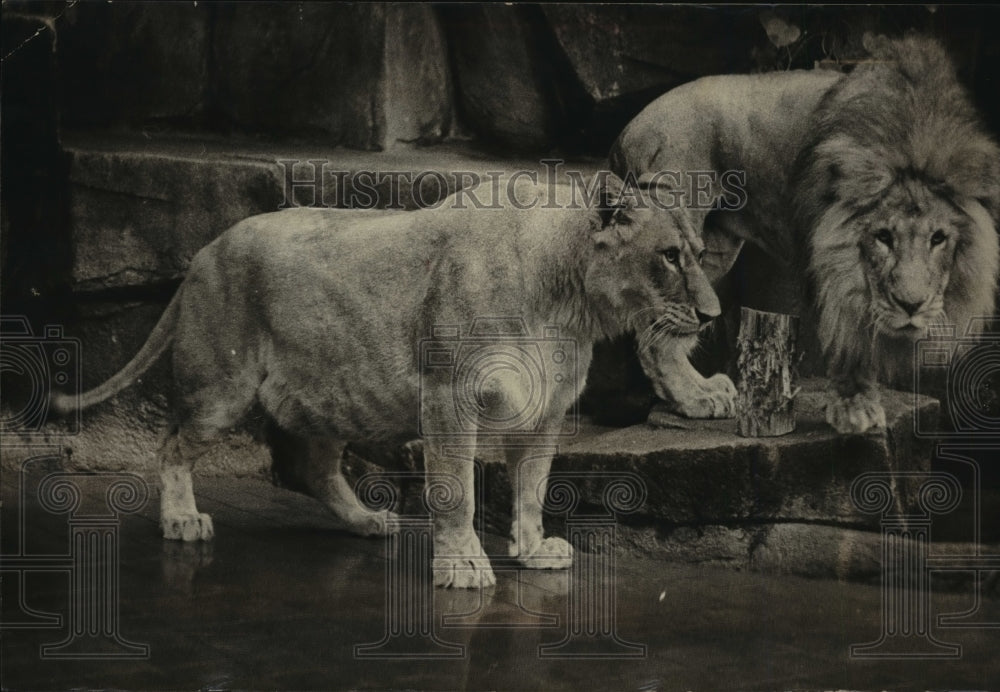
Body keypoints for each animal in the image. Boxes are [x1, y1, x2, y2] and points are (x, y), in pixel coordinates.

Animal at [56, 174, 728, 588]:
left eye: (697, 253)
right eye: (669, 256)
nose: (712, 315)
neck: (569, 305)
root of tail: (203, 252)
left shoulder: (545, 412)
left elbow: (533, 488)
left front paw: (534, 550)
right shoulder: (452, 394)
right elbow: (456, 489)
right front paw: (462, 566)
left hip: (330, 393)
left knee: (311, 466)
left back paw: (367, 522)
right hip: (222, 387)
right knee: (172, 444)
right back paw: (182, 520)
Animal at [608, 33, 1000, 432]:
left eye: (938, 239)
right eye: (883, 237)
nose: (911, 305)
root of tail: (627, 130)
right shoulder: (830, 260)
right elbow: (849, 335)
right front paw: (854, 407)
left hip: (711, 250)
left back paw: (702, 389)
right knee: (654, 339)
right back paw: (695, 399)